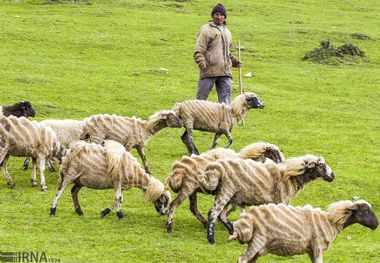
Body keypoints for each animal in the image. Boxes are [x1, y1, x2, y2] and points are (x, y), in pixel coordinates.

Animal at [202, 155, 336, 245]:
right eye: (321, 165)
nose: (333, 176)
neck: (289, 178)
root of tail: (218, 167)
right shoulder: (282, 201)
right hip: (226, 191)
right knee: (213, 213)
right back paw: (212, 239)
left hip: (229, 194)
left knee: (221, 215)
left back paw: (232, 231)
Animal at [229, 201, 378, 262]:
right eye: (365, 210)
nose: (377, 224)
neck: (330, 222)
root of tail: (248, 218)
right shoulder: (317, 247)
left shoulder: (312, 250)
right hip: (258, 241)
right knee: (242, 259)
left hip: (257, 244)